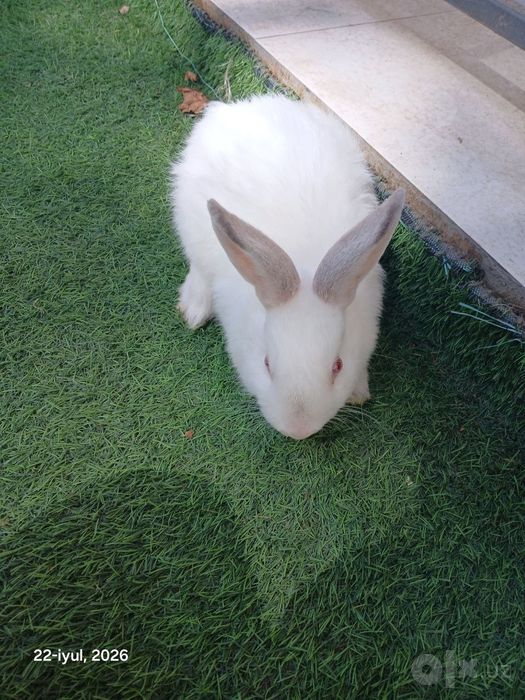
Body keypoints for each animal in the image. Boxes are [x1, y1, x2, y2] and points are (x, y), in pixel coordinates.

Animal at [171, 94, 404, 439]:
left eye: (338, 366)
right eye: (267, 364)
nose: (298, 430)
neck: (305, 264)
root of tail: (236, 109)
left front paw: (358, 391)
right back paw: (194, 310)